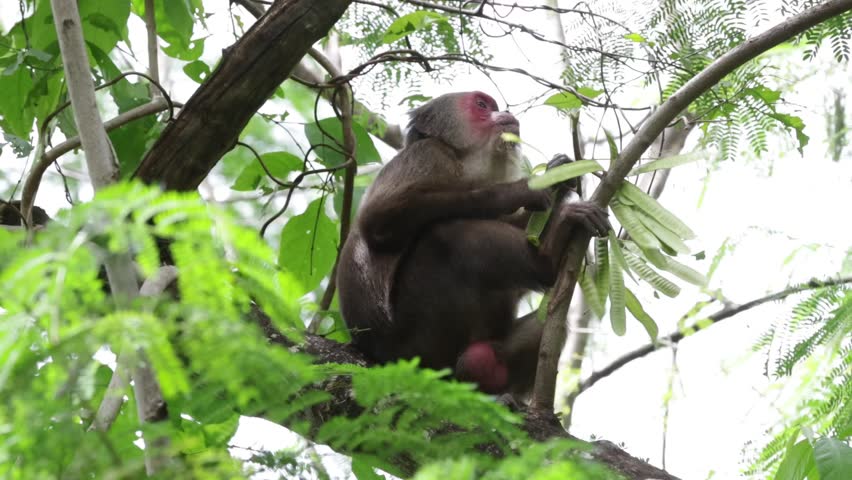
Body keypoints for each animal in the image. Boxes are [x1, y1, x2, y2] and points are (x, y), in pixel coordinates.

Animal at [337, 91, 610, 395]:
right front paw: (524, 190)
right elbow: (379, 221)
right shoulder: (428, 155)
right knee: (447, 234)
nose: (505, 112)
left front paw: (559, 176)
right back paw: (547, 262)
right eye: (482, 105)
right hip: (417, 346)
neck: (463, 162)